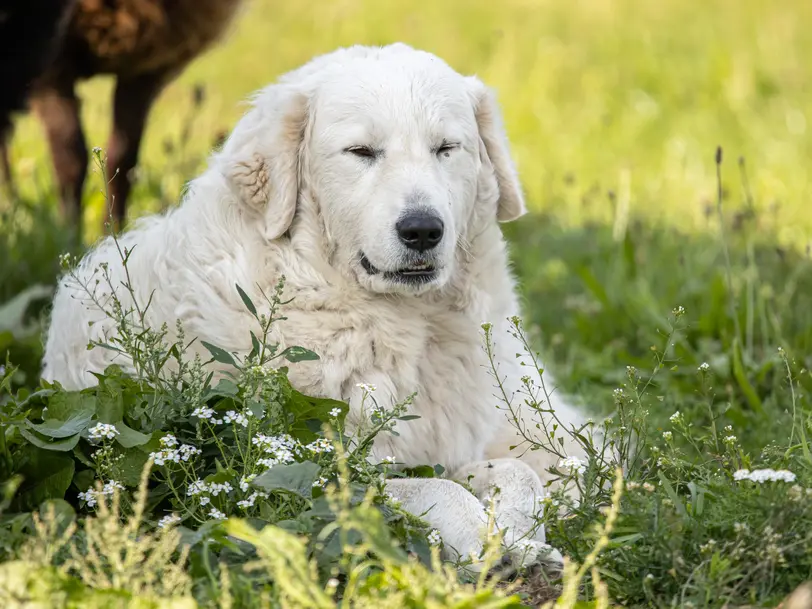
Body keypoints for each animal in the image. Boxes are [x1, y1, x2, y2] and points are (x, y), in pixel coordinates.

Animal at [42, 42, 584, 568]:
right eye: (361, 152)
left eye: (446, 149)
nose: (423, 230)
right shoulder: (315, 464)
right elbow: (432, 486)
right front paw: (484, 541)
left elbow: (518, 472)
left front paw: (521, 536)